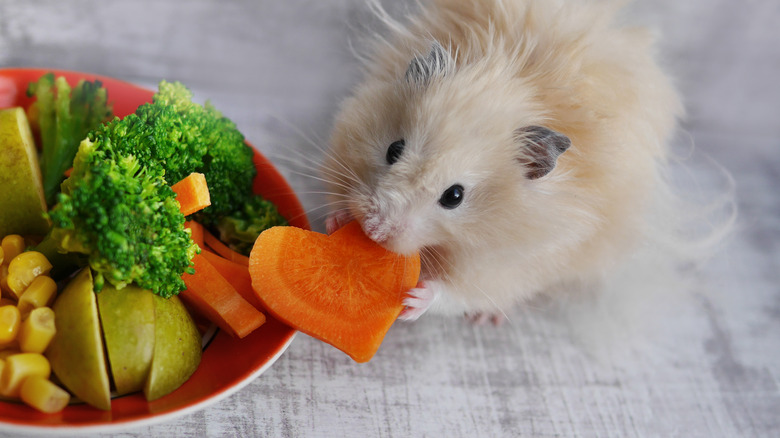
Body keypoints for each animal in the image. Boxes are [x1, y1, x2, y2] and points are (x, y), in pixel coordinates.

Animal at [316, 0, 684, 322]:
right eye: (393, 150)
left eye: (454, 197)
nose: (374, 231)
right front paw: (337, 220)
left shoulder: (509, 266)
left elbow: (459, 293)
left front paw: (414, 299)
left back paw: (486, 319)